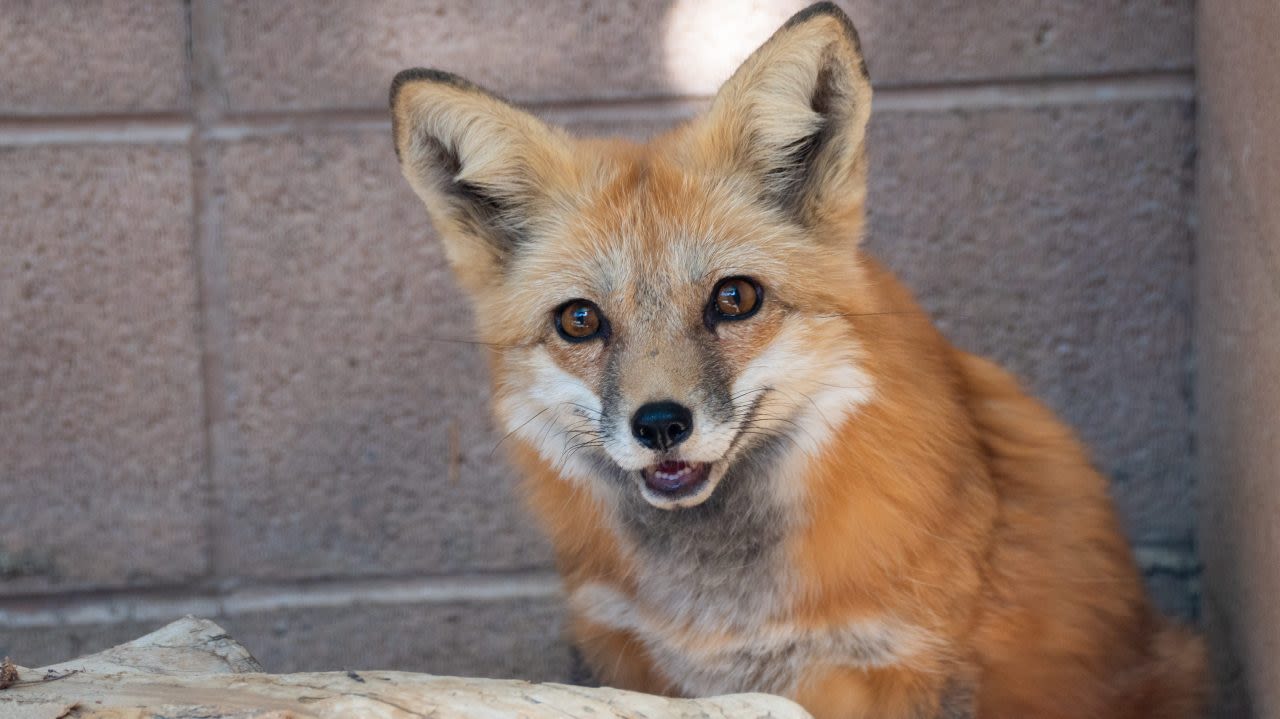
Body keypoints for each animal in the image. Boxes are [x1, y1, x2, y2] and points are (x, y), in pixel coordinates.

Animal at [384, 2, 1203, 711]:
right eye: (580, 320)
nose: (660, 424)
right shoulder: (625, 655)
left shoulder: (911, 664)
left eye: (735, 298)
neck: (725, 615)